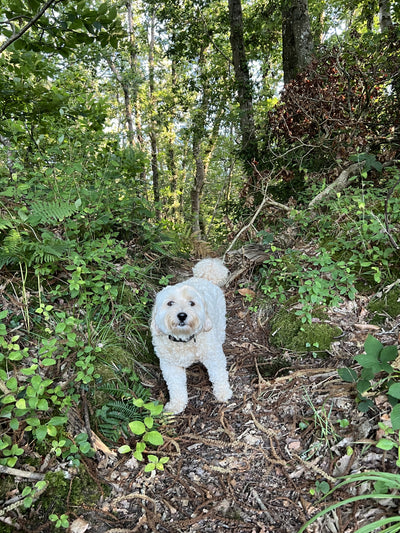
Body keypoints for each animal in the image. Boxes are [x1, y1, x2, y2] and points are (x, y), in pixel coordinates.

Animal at [150, 260, 231, 414]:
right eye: (170, 303)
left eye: (192, 303)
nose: (182, 315)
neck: (183, 340)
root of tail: (205, 277)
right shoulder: (170, 366)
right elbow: (175, 386)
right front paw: (176, 405)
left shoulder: (212, 355)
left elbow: (219, 373)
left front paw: (223, 392)